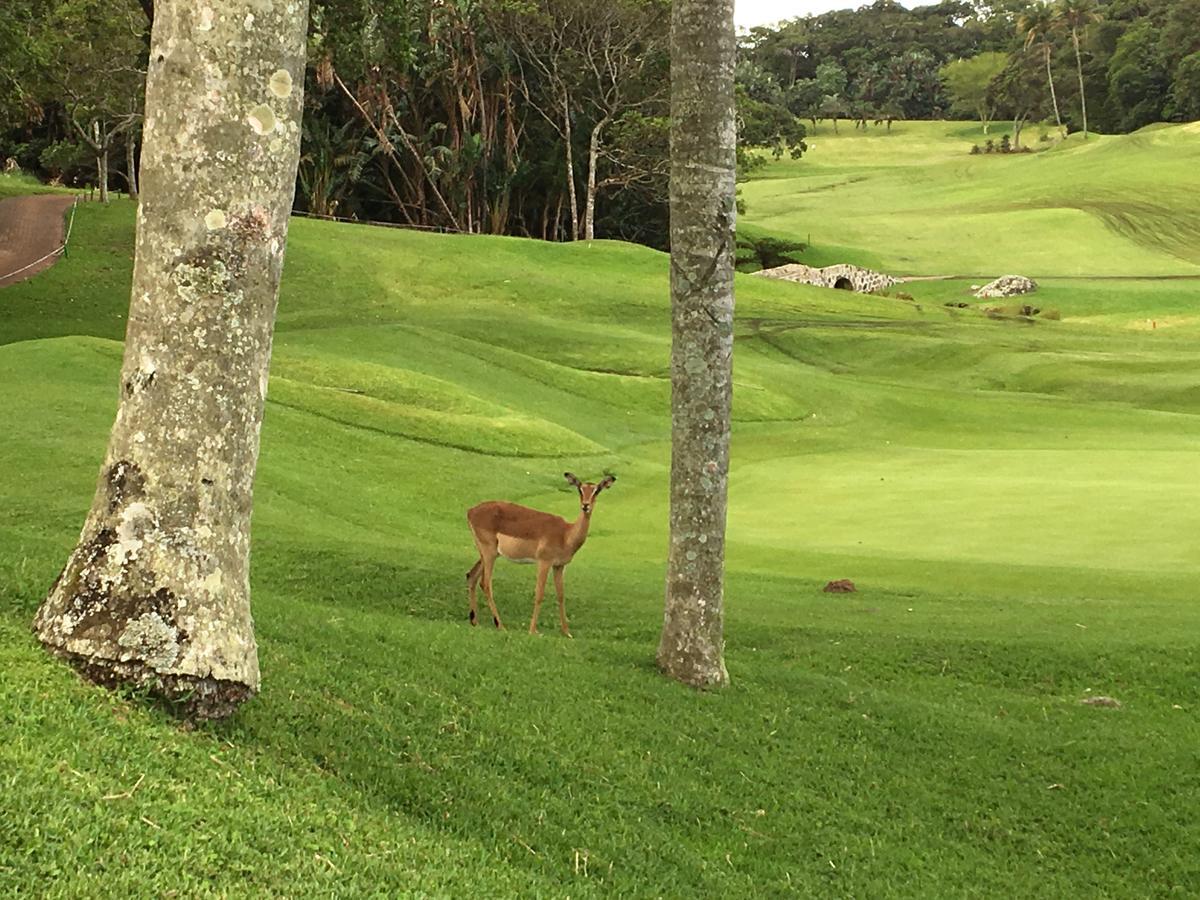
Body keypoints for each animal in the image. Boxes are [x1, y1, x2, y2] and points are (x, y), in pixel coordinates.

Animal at [465, 475, 619, 638]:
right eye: (580, 489)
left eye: (597, 490)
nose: (585, 505)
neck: (566, 534)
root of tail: (471, 511)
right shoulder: (544, 562)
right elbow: (539, 593)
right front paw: (533, 630)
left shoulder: (559, 566)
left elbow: (561, 596)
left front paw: (567, 633)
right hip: (490, 553)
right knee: (485, 583)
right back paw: (500, 626)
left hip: (487, 554)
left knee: (471, 576)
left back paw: (475, 621)